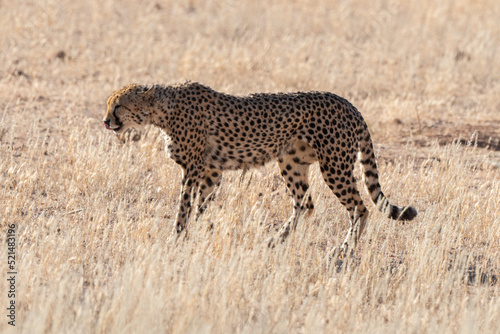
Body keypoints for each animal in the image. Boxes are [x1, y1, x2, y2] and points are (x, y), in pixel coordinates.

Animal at [103, 83, 416, 253]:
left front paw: (176, 236)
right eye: (109, 105)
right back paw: (277, 240)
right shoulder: (211, 171)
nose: (106, 121)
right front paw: (197, 232)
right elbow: (200, 205)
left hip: (334, 165)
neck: (163, 111)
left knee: (359, 208)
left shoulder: (193, 169)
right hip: (291, 162)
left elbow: (184, 205)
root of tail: (348, 103)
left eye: (118, 106)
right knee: (306, 203)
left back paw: (344, 251)